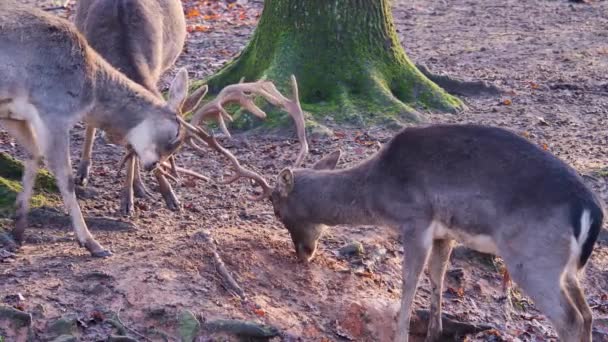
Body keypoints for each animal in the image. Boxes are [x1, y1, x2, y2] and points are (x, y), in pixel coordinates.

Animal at [207, 123, 604, 342]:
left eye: (277, 210)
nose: (303, 253)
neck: (378, 189)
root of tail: (591, 209)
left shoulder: (416, 219)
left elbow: (409, 281)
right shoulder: (446, 231)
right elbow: (437, 278)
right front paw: (435, 333)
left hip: (532, 257)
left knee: (570, 320)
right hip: (567, 268)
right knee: (587, 316)